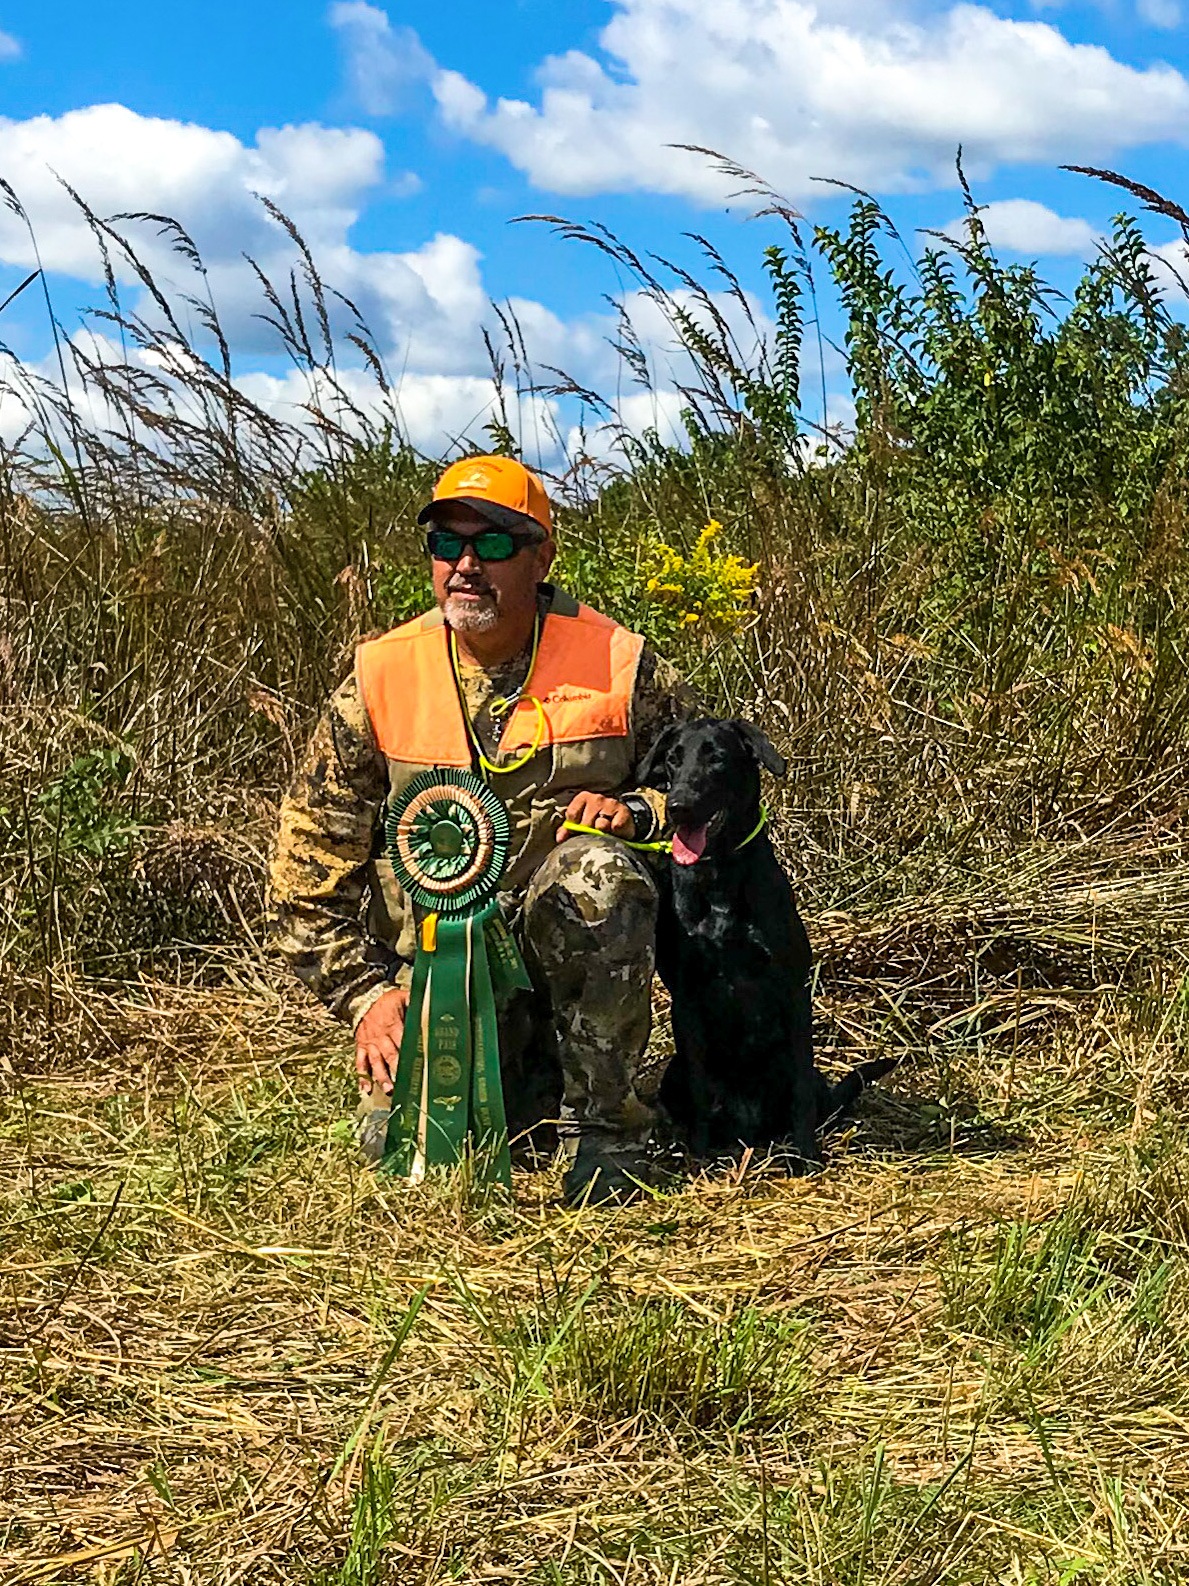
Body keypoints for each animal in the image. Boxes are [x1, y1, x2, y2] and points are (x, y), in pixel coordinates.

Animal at [643, 720, 894, 1167]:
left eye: (717, 757)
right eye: (673, 758)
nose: (678, 806)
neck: (720, 876)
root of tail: (750, 1128)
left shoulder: (792, 989)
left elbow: (801, 1095)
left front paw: (807, 1155)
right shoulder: (686, 998)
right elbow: (700, 1090)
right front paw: (700, 1155)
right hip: (672, 1075)